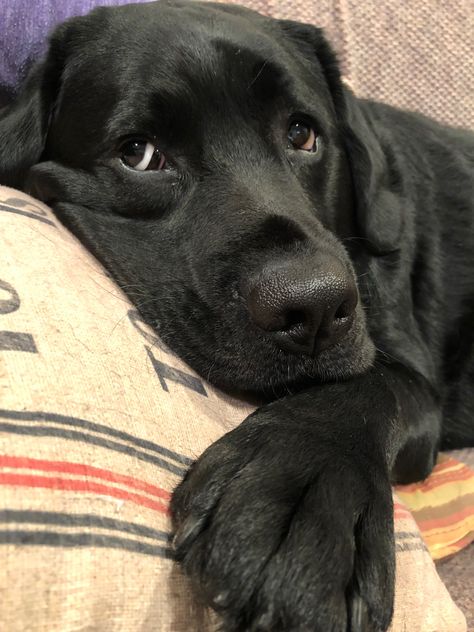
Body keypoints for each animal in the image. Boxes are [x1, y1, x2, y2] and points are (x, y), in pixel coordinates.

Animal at [0, 2, 474, 628]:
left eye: (302, 133)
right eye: (138, 153)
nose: (313, 306)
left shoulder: (411, 374)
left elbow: (370, 387)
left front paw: (301, 492)